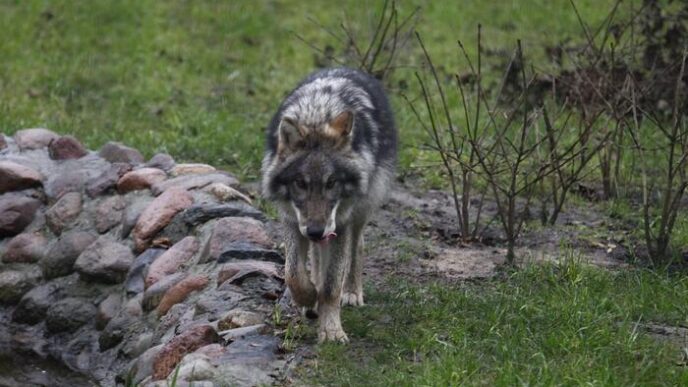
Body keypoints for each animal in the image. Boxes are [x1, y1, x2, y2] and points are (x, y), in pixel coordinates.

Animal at [260, 68, 398, 344]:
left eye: (331, 182)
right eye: (300, 183)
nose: (316, 231)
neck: (316, 114)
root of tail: (347, 69)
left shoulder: (340, 224)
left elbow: (332, 284)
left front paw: (332, 330)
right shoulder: (292, 220)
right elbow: (293, 273)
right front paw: (309, 298)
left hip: (360, 210)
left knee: (357, 246)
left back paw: (352, 292)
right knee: (315, 258)